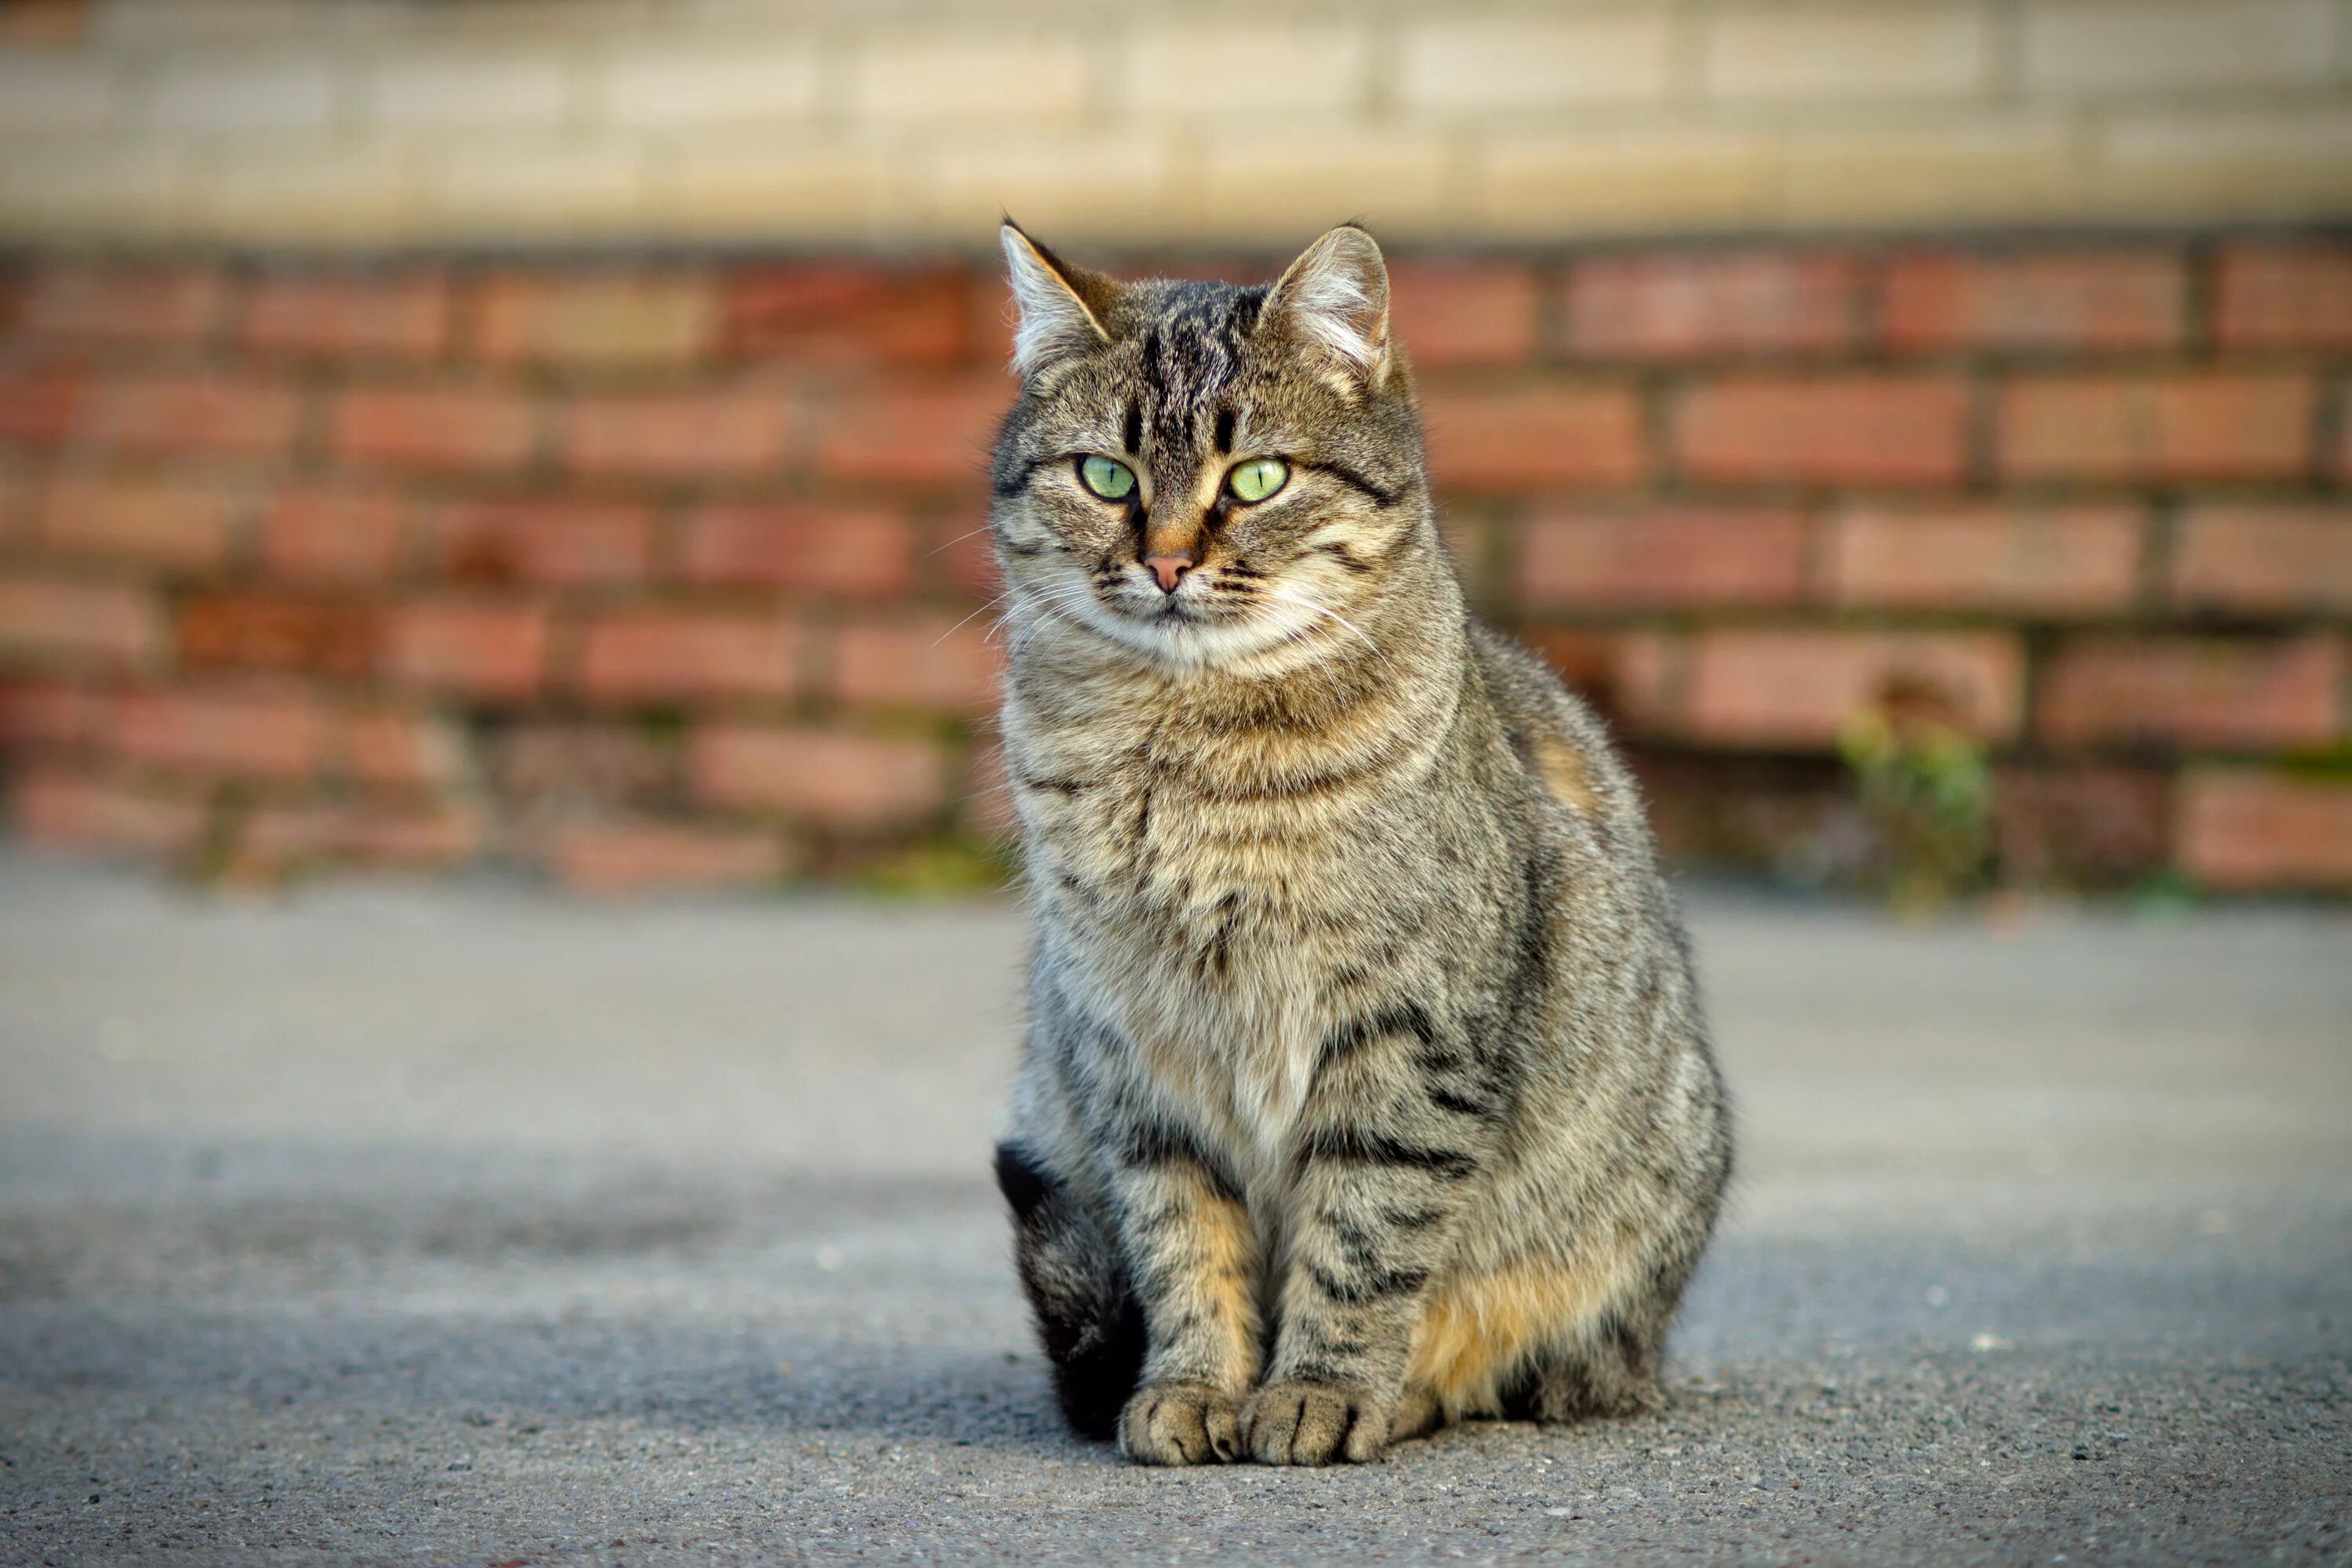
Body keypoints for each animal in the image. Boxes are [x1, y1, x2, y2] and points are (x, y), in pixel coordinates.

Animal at [983, 223, 1740, 1476]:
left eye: (1257, 478)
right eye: (1108, 476)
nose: (1169, 563)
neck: (1185, 751)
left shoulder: (1405, 1040)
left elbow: (1363, 1238)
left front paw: (1317, 1392)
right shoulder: (1134, 1050)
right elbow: (1181, 1239)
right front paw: (1193, 1387)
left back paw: (1421, 1393)